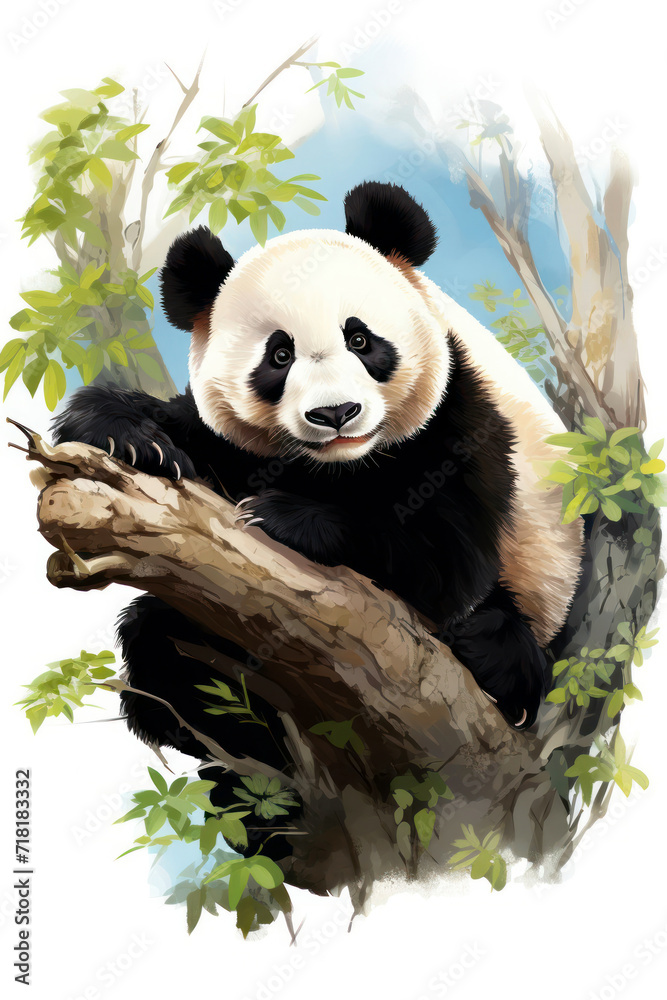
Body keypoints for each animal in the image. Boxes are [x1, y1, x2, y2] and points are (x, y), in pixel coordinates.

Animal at [53, 182, 582, 846]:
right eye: (279, 355)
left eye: (360, 339)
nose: (336, 414)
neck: (338, 466)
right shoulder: (231, 443)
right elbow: (177, 431)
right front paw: (130, 436)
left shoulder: (463, 428)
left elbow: (443, 563)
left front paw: (286, 519)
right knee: (162, 648)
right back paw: (248, 781)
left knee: (503, 641)